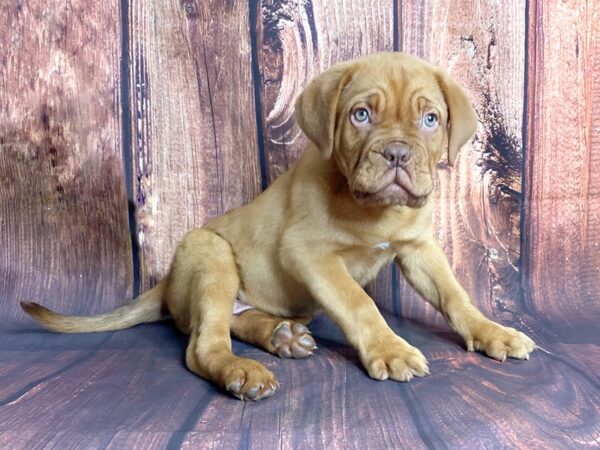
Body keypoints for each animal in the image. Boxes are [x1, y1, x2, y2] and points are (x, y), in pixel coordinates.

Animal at [19, 52, 536, 400]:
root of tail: (165, 284)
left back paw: (280, 336)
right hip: (211, 253)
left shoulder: (419, 248)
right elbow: (360, 302)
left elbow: (455, 295)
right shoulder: (308, 252)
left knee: (234, 319)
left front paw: (492, 331)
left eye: (430, 119)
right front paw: (389, 349)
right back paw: (241, 369)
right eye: (361, 115)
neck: (373, 208)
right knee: (202, 343)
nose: (396, 153)